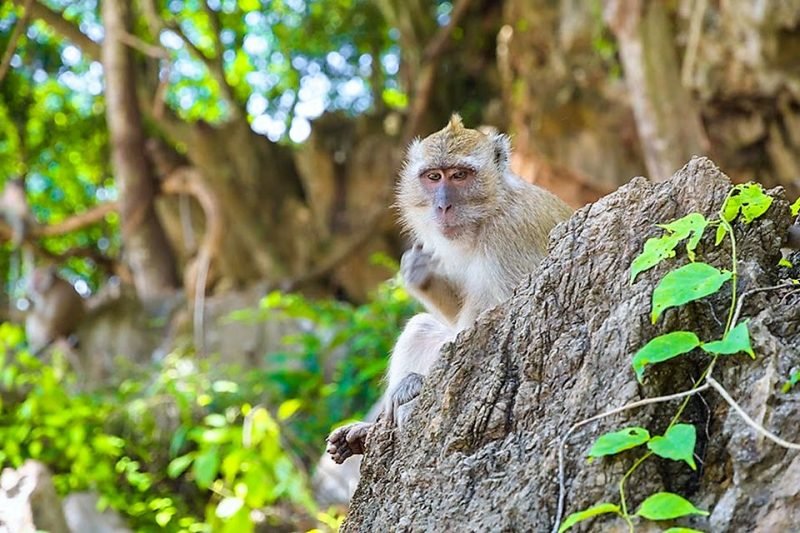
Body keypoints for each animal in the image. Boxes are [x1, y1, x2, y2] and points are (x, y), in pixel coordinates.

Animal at [326, 115, 576, 462]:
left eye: (459, 175)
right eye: (434, 177)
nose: (443, 205)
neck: (488, 213)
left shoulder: (510, 238)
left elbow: (497, 329)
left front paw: (414, 384)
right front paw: (420, 275)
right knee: (420, 328)